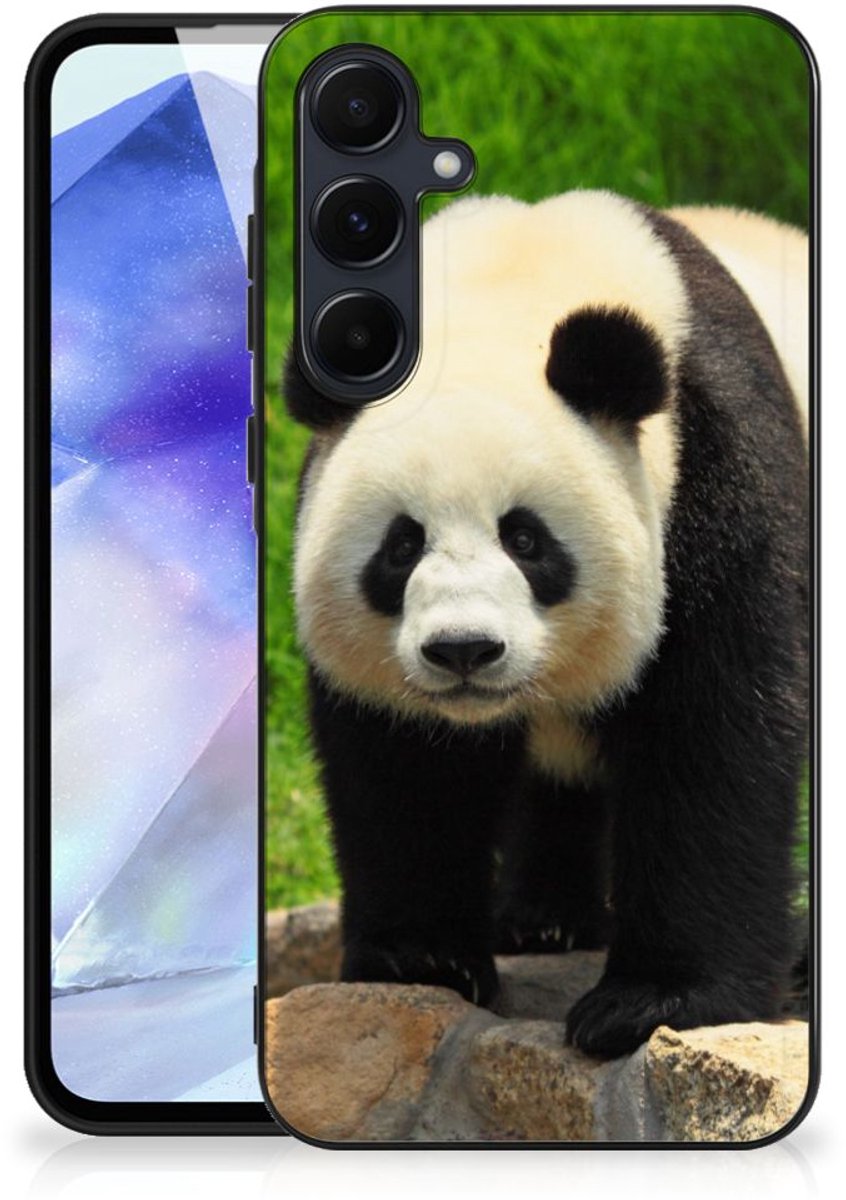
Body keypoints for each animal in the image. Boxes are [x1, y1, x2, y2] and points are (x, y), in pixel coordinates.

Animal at [281, 191, 809, 1058]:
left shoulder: (717, 475)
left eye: (526, 540)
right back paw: (544, 920)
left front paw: (652, 1001)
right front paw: (421, 959)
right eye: (401, 546)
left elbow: (714, 735)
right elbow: (405, 767)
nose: (463, 650)